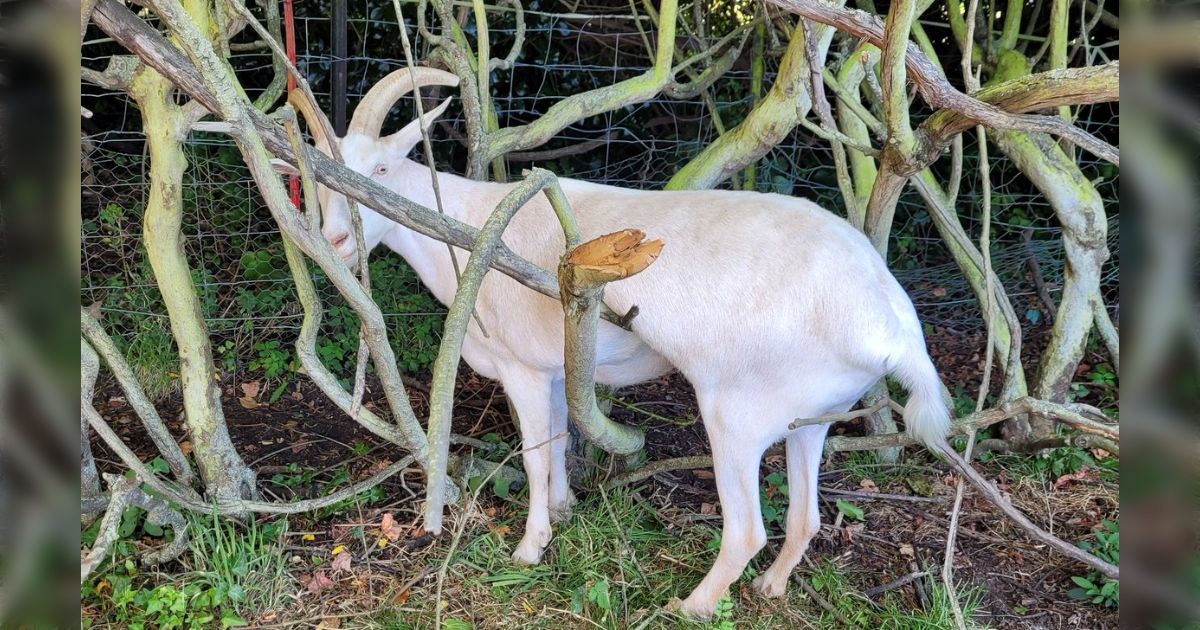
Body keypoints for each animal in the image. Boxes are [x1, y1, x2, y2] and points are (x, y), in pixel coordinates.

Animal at [277, 67, 950, 618]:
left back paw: (692, 605)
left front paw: (528, 548)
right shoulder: (552, 369)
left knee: (746, 531)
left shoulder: (521, 368)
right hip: (815, 413)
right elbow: (557, 442)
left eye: (381, 171)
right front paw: (563, 514)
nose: (336, 241)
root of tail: (892, 326)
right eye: (325, 181)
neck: (466, 227)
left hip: (739, 413)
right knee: (805, 515)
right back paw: (771, 588)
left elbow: (534, 453)